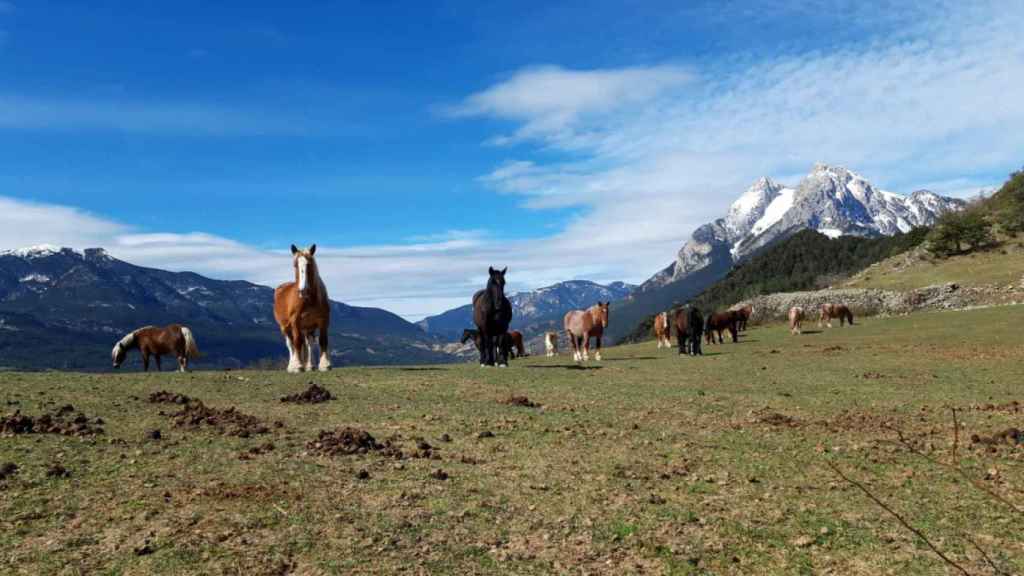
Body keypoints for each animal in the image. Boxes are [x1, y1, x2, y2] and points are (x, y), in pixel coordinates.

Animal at [272, 242, 331, 373]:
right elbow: (297, 342)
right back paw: (292, 365)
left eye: (309, 264)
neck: (309, 300)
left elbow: (323, 340)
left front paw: (324, 365)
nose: (303, 290)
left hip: (307, 327)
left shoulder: (323, 320)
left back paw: (309, 365)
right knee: (291, 344)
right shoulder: (295, 321)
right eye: (295, 265)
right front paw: (298, 366)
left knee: (308, 343)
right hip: (285, 327)